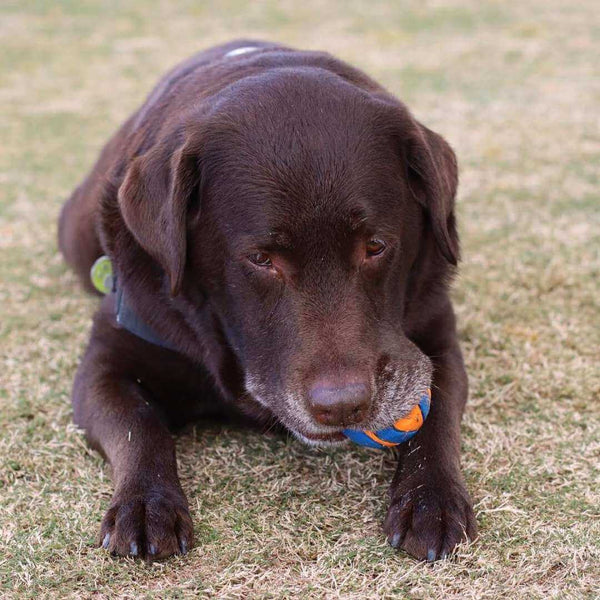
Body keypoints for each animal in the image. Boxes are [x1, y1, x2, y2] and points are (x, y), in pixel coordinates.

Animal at [58, 39, 476, 560]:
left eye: (376, 246)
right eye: (261, 258)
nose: (343, 406)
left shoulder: (437, 336)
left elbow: (438, 417)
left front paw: (431, 499)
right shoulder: (106, 361)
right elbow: (138, 423)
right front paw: (145, 503)